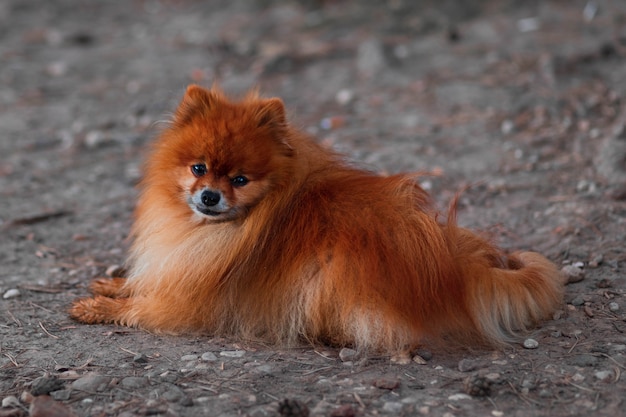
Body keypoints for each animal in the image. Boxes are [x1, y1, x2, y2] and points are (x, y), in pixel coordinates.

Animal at [70, 85, 564, 354]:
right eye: (198, 168)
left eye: (241, 179)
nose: (210, 196)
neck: (218, 230)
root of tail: (451, 272)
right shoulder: (179, 264)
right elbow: (143, 281)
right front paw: (112, 284)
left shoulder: (193, 299)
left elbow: (142, 306)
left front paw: (100, 308)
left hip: (332, 273)